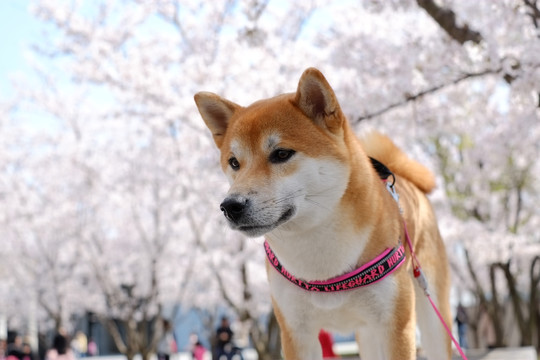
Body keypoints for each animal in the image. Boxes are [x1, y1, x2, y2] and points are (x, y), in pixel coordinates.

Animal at [194, 68, 452, 360]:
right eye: (234, 162)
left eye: (281, 154)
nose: (230, 205)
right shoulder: (296, 332)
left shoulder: (395, 327)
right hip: (368, 334)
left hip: (429, 313)